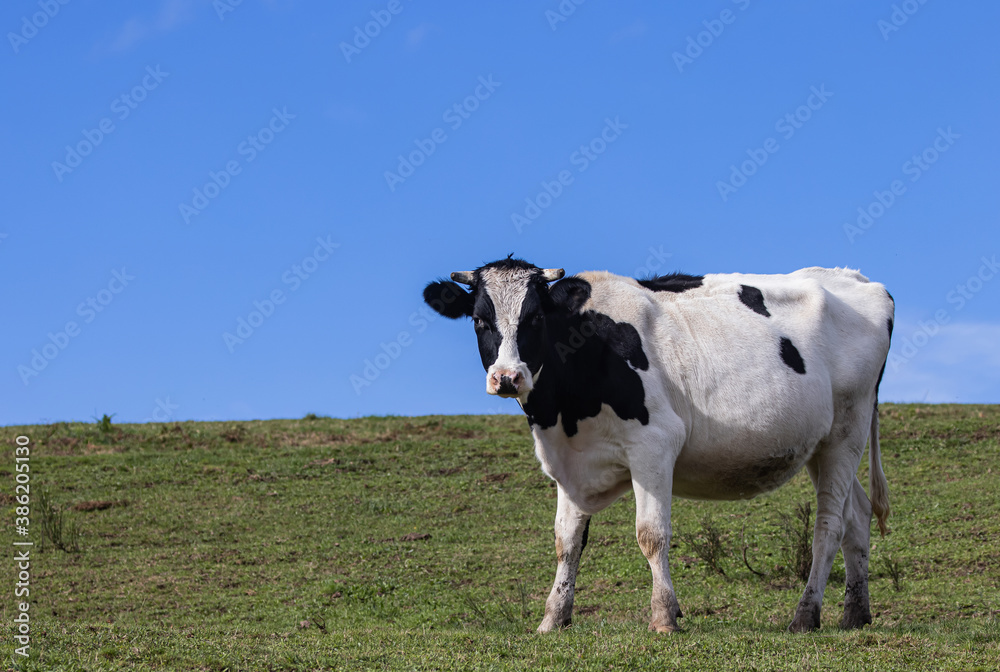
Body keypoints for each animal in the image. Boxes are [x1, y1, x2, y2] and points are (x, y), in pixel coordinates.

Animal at [426, 256, 896, 632]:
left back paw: (805, 616)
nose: (507, 378)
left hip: (847, 431)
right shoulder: (569, 460)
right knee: (856, 516)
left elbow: (651, 534)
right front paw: (553, 618)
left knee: (828, 527)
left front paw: (664, 616)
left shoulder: (653, 446)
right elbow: (566, 540)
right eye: (479, 320)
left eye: (535, 319)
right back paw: (855, 614)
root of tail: (859, 279)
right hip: (822, 444)